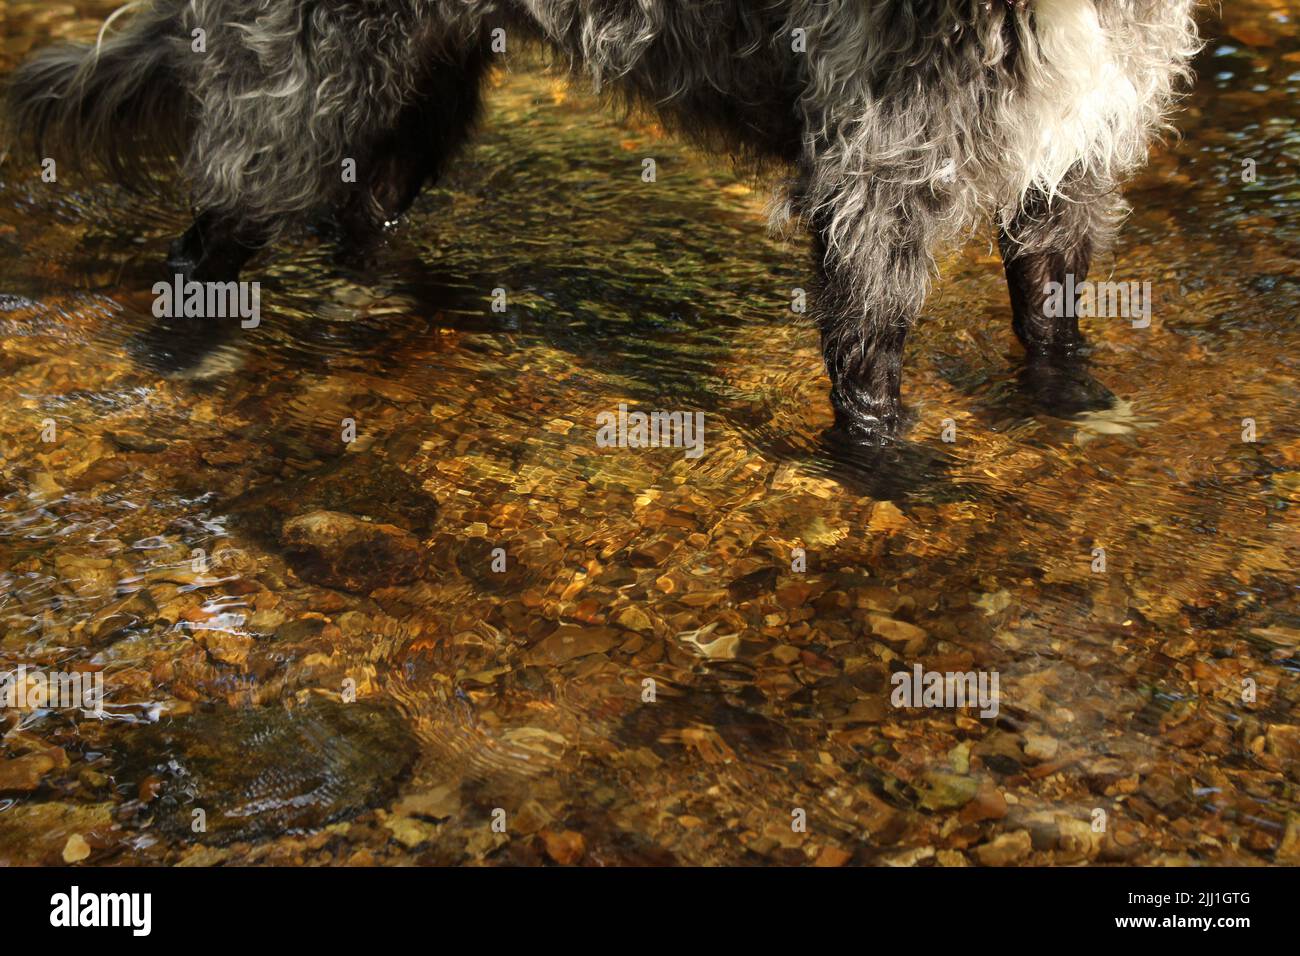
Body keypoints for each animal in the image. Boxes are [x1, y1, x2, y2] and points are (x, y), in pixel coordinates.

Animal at [5, 1, 1196, 442]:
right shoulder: (876, 174)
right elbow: (870, 355)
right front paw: (886, 465)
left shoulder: (1072, 160)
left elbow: (1051, 310)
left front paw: (1069, 403)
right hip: (307, 85)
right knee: (213, 230)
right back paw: (188, 351)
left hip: (419, 84)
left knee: (364, 209)